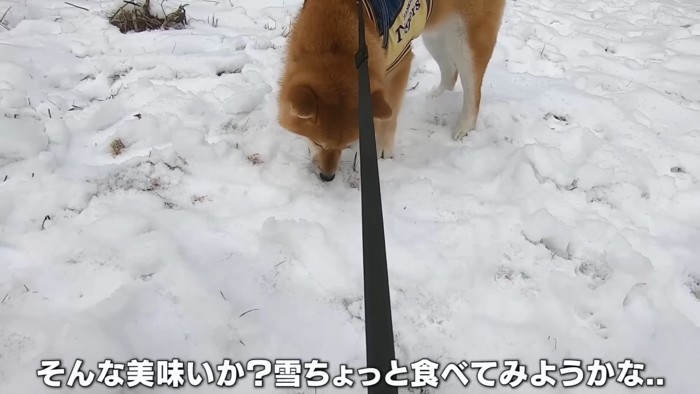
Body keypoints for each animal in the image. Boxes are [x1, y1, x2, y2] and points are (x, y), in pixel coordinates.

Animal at [278, 0, 504, 182]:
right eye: (318, 142)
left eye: (344, 145)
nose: (327, 177)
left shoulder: (399, 64)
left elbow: (389, 116)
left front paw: (382, 149)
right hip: (437, 35)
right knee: (450, 74)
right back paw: (435, 98)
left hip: (467, 42)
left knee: (473, 91)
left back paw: (464, 127)